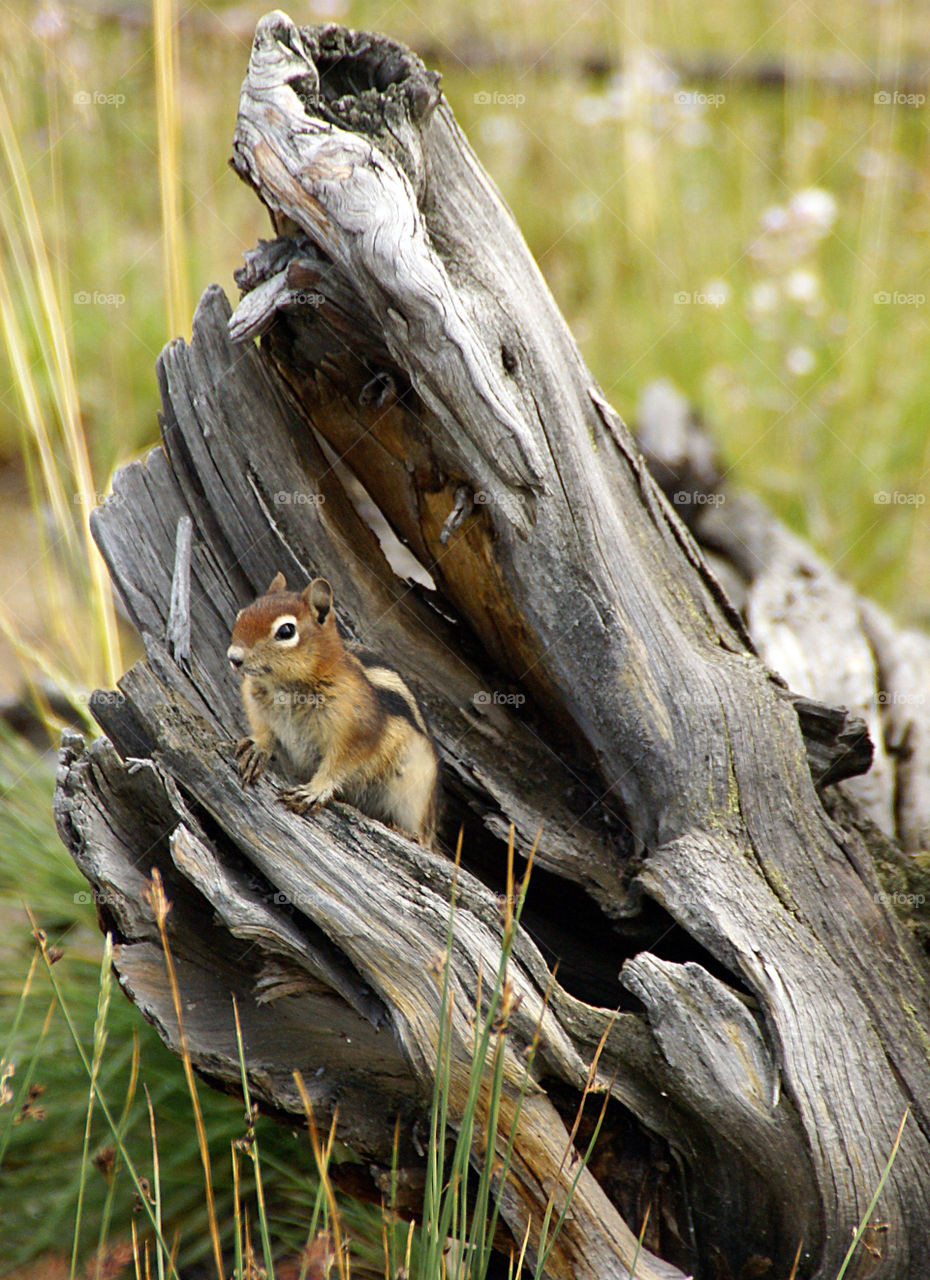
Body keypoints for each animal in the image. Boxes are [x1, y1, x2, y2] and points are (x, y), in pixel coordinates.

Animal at [227, 572, 440, 848]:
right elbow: (262, 729)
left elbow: (340, 763)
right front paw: (257, 749)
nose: (233, 657)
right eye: (241, 614)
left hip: (412, 789)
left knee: (421, 835)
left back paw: (408, 833)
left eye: (286, 631)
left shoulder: (359, 728)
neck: (285, 687)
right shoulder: (255, 703)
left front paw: (314, 790)